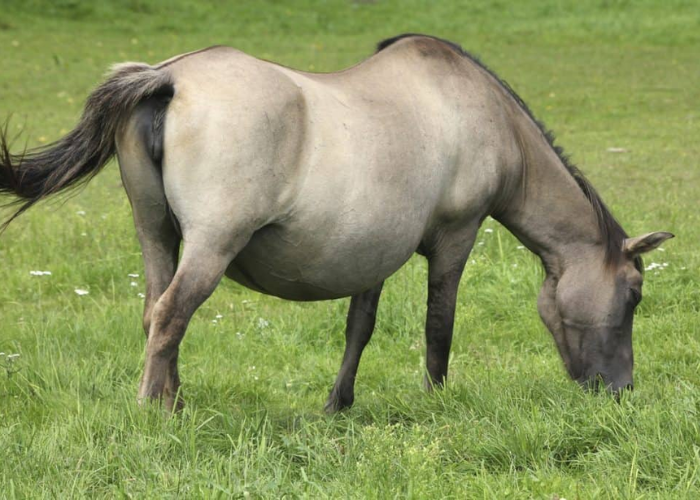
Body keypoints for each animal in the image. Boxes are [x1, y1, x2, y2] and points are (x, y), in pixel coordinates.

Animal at [0, 34, 672, 412]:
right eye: (635, 294)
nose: (622, 391)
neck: (482, 115)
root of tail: (169, 77)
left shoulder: (372, 251)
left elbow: (359, 328)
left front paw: (337, 404)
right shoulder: (456, 237)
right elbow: (439, 325)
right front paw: (436, 403)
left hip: (157, 235)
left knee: (156, 316)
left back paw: (175, 401)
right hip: (211, 245)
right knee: (170, 316)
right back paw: (152, 412)